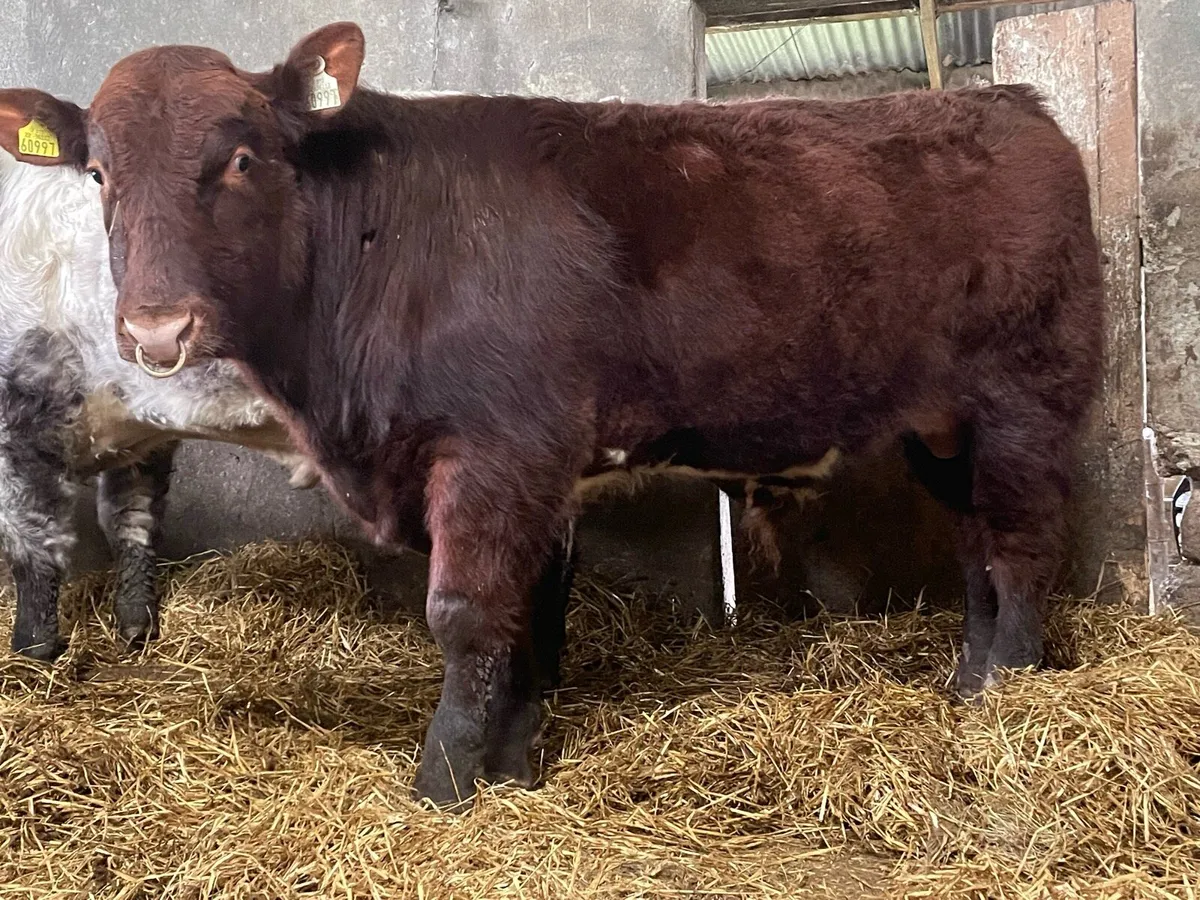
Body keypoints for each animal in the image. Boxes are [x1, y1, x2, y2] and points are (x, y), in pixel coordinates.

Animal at [0, 144, 318, 661]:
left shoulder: (23, 410)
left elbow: (34, 536)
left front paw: (34, 649)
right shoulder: (139, 428)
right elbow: (133, 518)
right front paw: (135, 627)